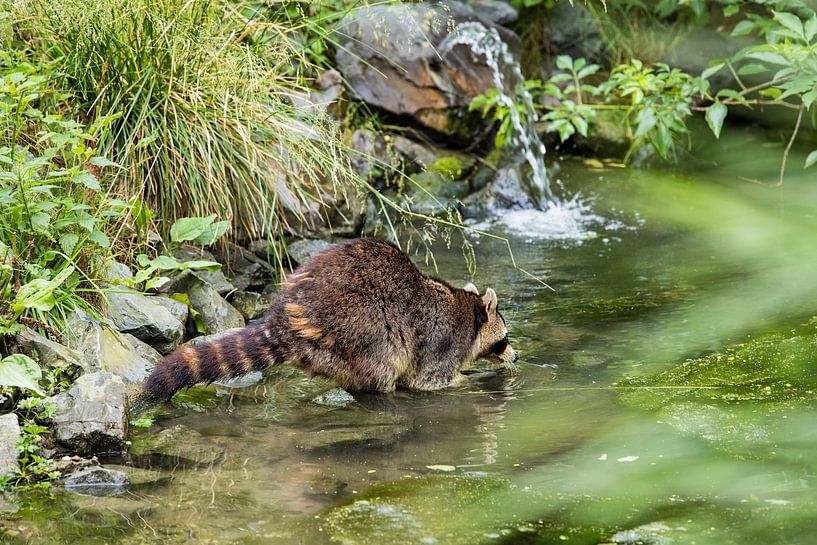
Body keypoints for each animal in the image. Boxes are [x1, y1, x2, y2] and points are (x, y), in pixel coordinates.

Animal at [144, 238, 517, 398]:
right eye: (504, 339)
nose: (516, 356)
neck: (468, 309)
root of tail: (285, 318)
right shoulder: (442, 341)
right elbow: (429, 380)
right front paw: (469, 379)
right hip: (361, 326)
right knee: (385, 361)